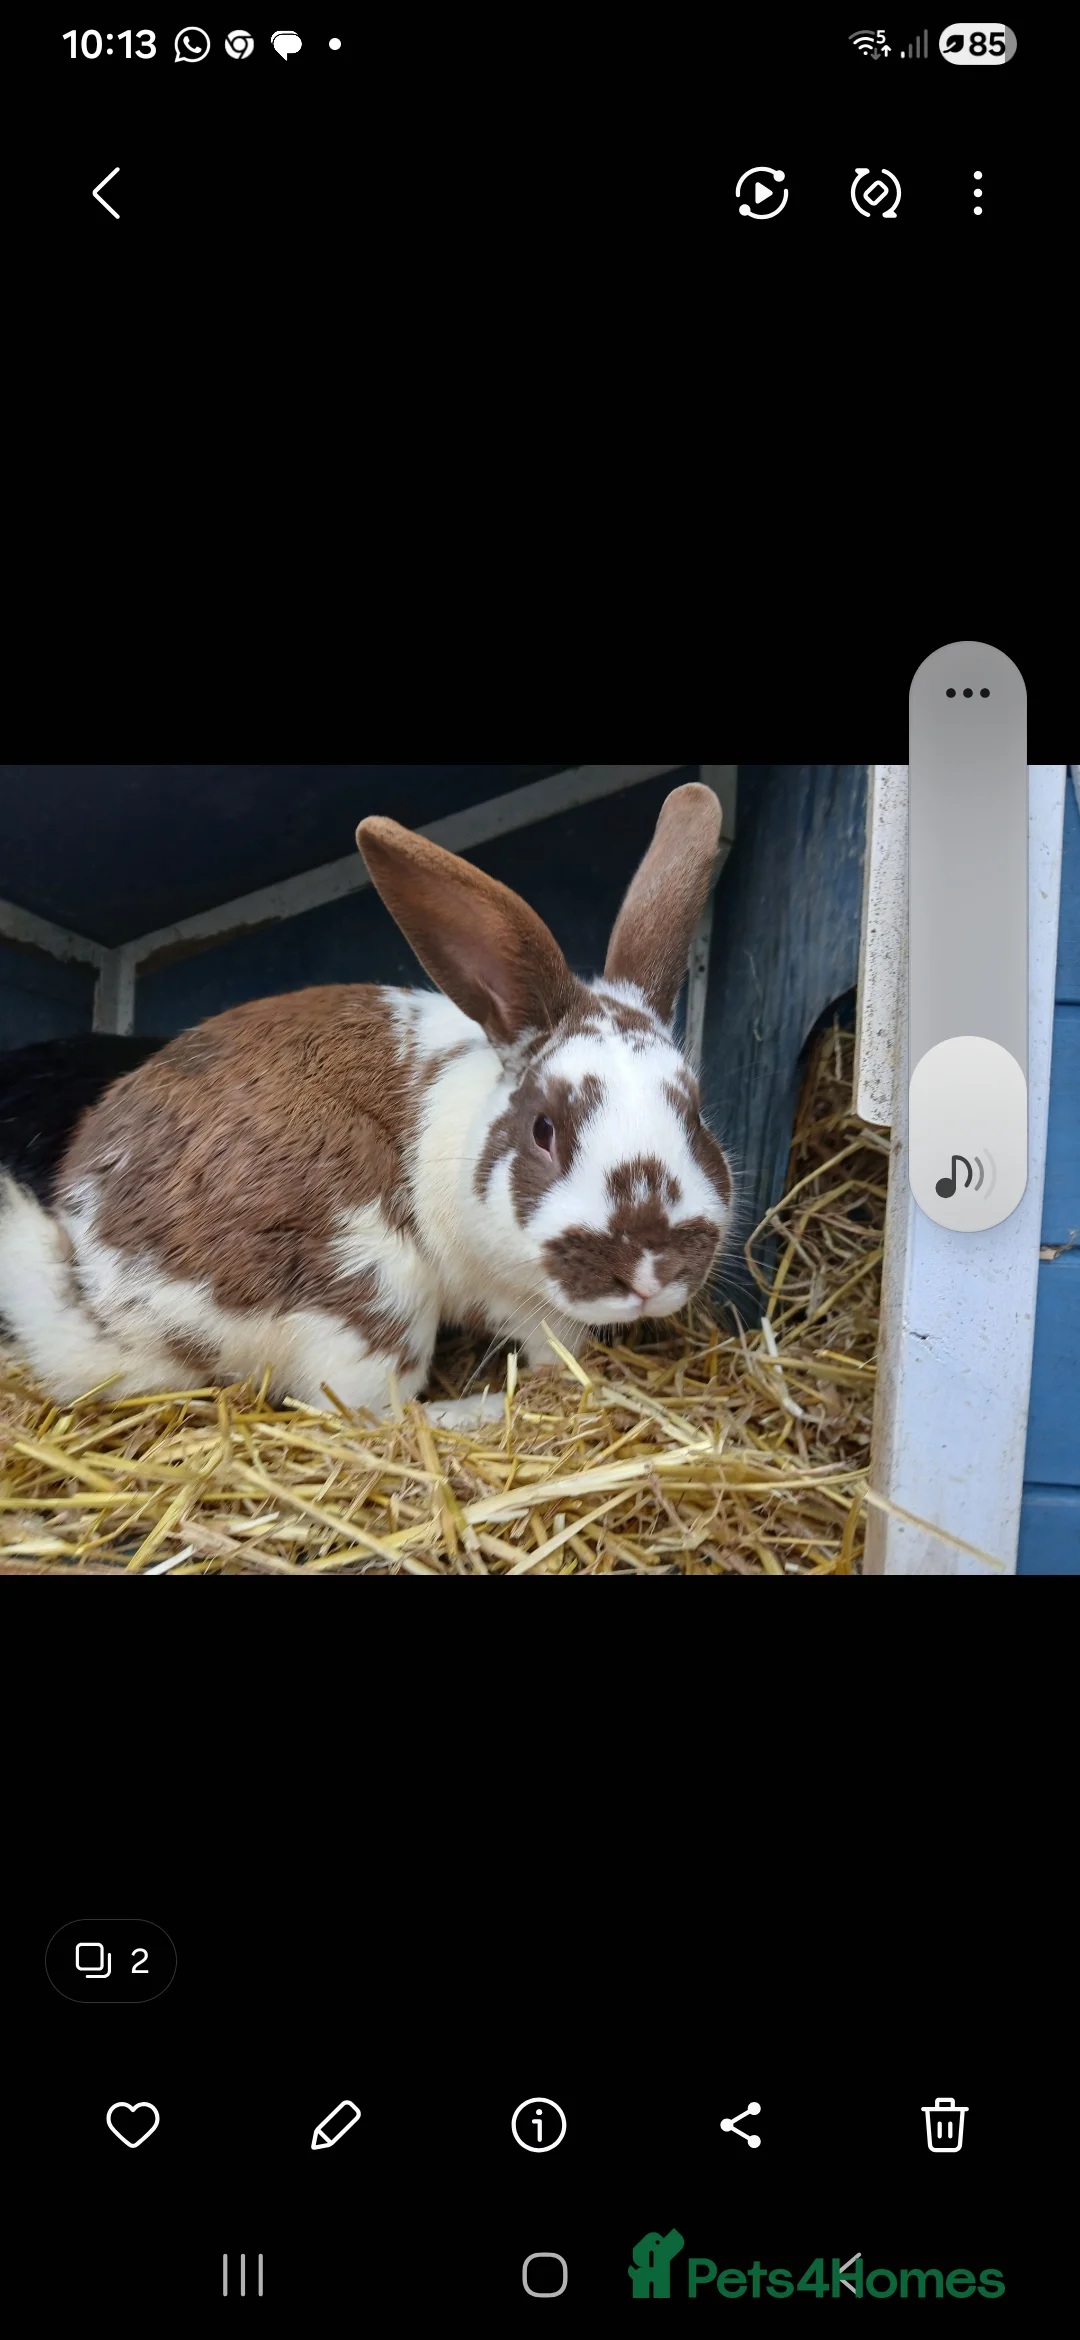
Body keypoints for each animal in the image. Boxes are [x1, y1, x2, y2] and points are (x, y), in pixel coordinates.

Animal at [0, 782, 733, 1420]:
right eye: (544, 1130)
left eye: (696, 1117)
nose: (649, 1268)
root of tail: (111, 1305)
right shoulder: (520, 1301)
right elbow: (554, 1349)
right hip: (373, 1291)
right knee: (371, 1415)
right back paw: (476, 1412)